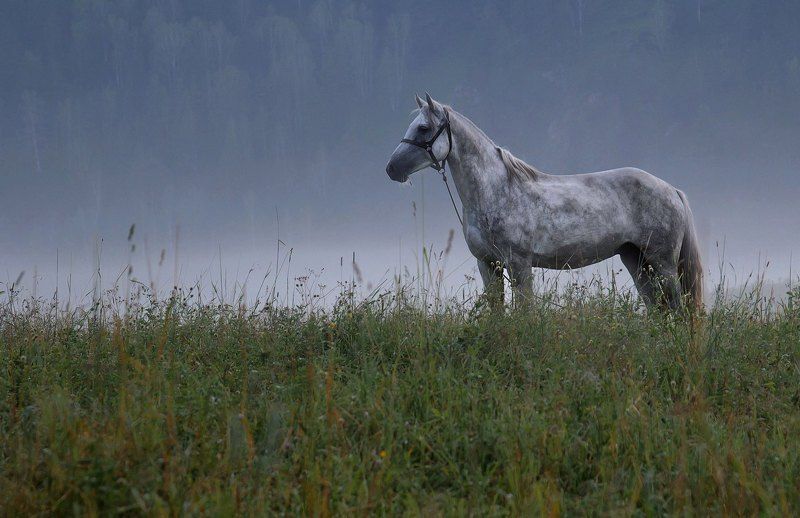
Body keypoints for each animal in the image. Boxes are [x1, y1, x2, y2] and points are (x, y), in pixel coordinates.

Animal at [386, 94, 703, 311]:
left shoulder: (519, 265)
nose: (391, 169)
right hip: (636, 260)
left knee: (679, 309)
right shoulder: (488, 264)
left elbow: (524, 312)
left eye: (423, 128)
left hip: (663, 263)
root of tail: (672, 190)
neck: (496, 191)